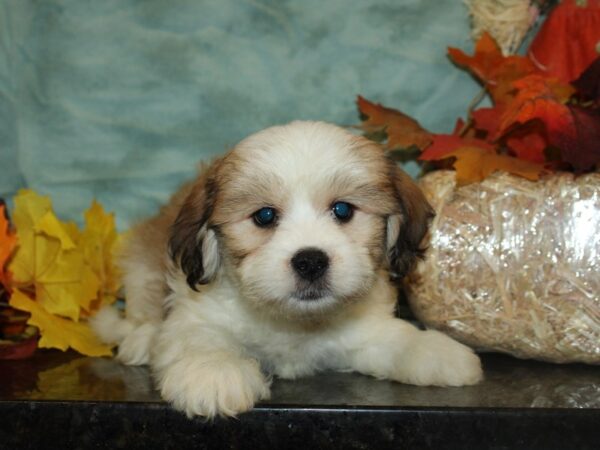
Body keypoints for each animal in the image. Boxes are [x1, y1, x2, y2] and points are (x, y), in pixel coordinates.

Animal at [90, 119, 482, 418]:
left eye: (343, 210)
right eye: (264, 216)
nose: (310, 261)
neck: (294, 323)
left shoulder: (364, 331)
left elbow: (395, 339)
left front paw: (434, 352)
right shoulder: (198, 312)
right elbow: (197, 337)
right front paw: (213, 372)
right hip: (143, 262)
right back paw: (141, 338)